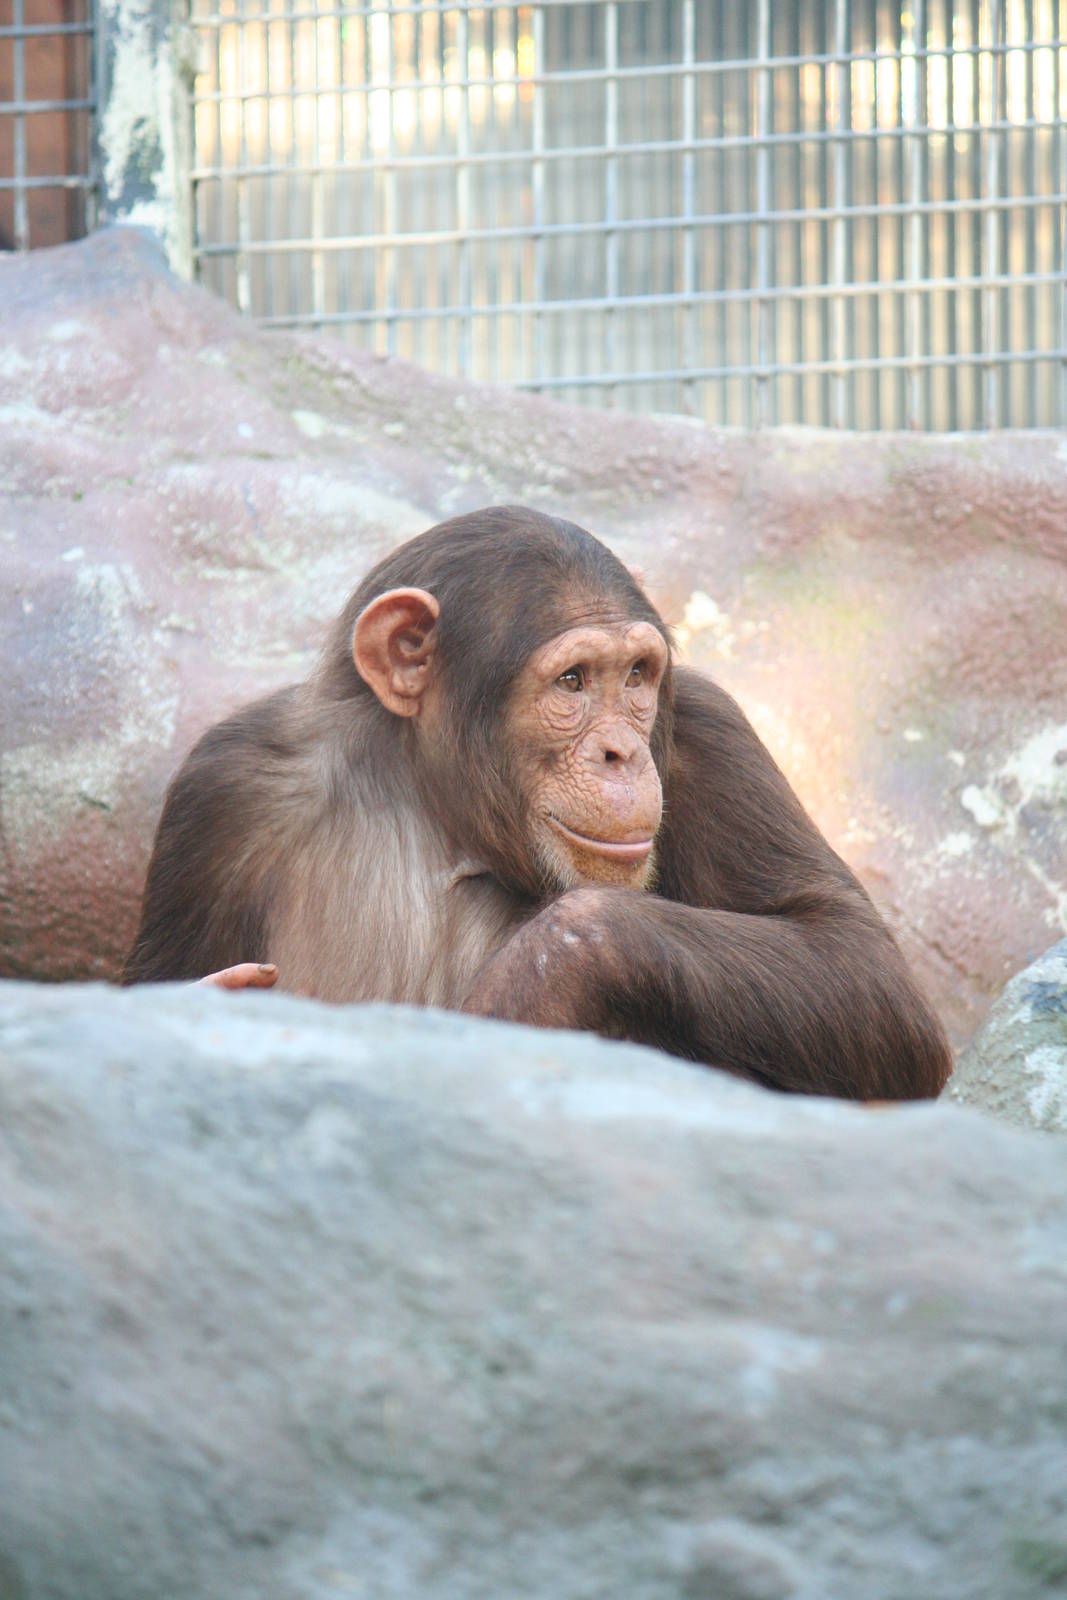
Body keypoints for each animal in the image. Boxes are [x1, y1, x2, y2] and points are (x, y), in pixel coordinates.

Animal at [123, 506, 952, 1100]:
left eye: (637, 675)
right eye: (572, 682)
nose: (621, 750)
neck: (447, 815)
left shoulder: (712, 736)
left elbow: (849, 950)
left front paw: (525, 994)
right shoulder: (226, 785)